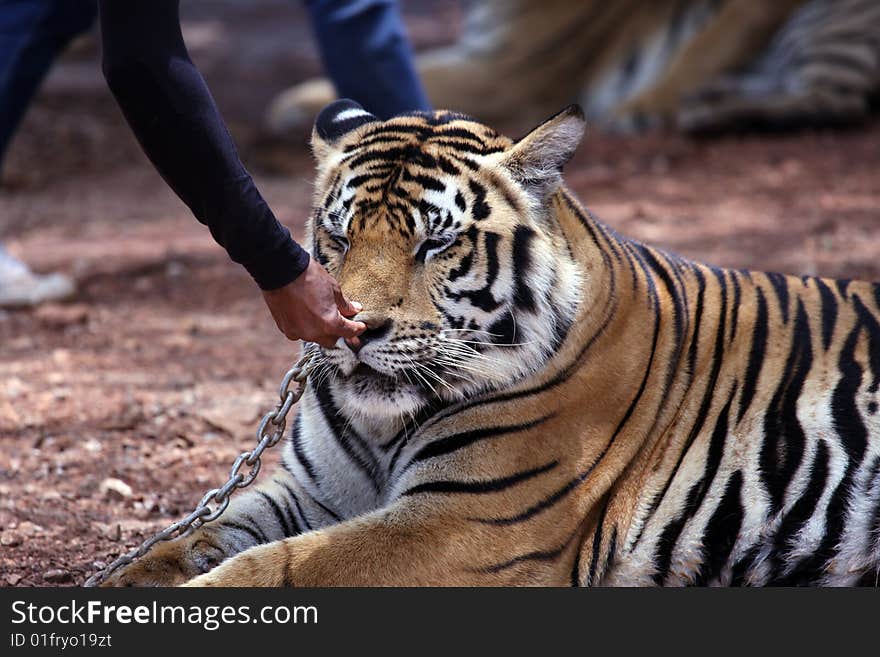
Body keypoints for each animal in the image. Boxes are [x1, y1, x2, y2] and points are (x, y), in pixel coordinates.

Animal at [103, 97, 880, 584]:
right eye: (340, 236)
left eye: (434, 243)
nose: (354, 328)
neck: (381, 428)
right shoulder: (308, 491)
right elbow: (188, 541)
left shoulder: (463, 523)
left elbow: (282, 567)